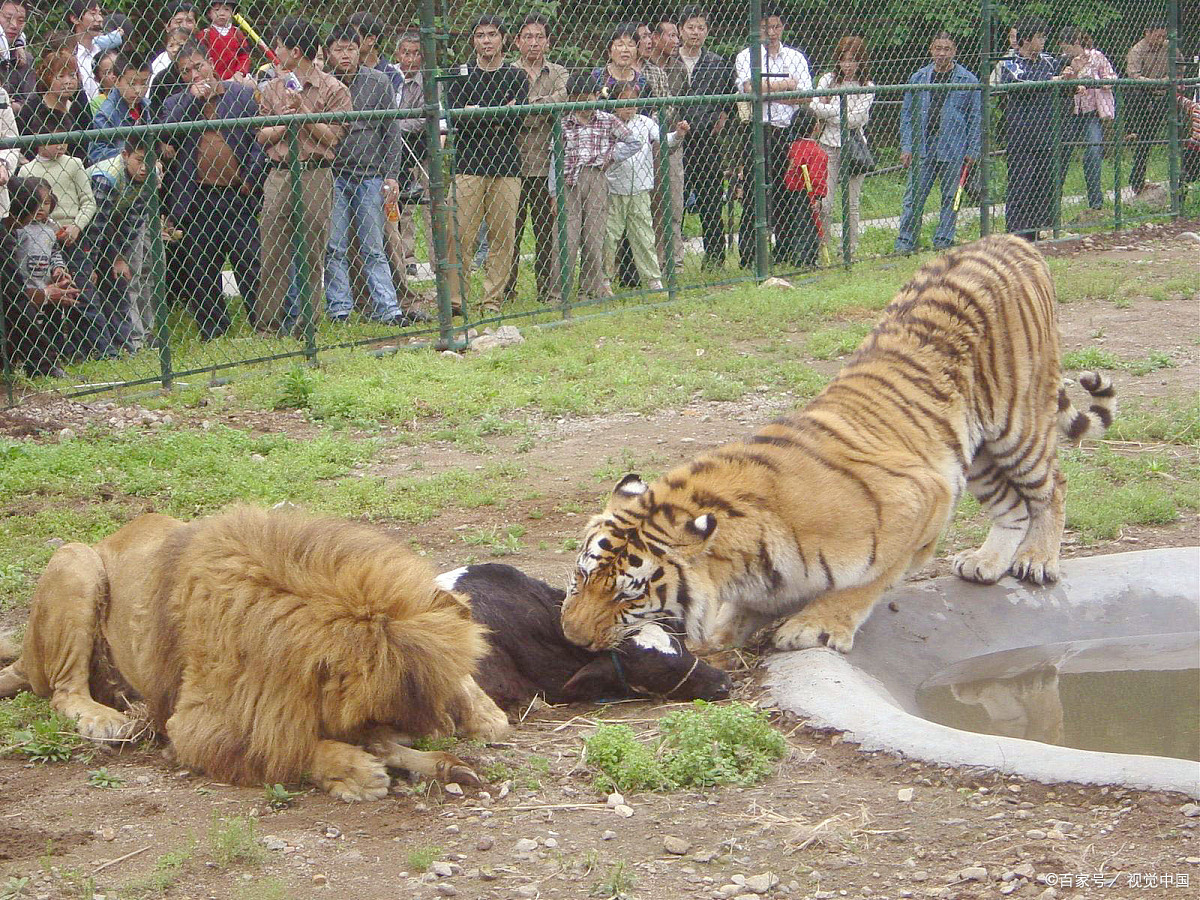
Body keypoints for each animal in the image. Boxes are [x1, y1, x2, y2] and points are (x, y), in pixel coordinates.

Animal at [0, 508, 511, 801]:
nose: (432, 728)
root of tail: (25, 653)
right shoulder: (198, 725)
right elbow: (283, 746)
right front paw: (352, 771)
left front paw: (471, 727)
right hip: (77, 562)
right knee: (64, 691)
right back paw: (105, 718)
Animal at [561, 234, 1113, 657]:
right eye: (581, 577)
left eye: (628, 597)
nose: (570, 637)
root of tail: (1010, 238)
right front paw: (724, 632)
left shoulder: (921, 498)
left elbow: (866, 582)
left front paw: (814, 626)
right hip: (972, 453)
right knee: (1010, 506)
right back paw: (987, 563)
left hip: (1017, 422)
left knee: (1053, 485)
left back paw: (1038, 559)